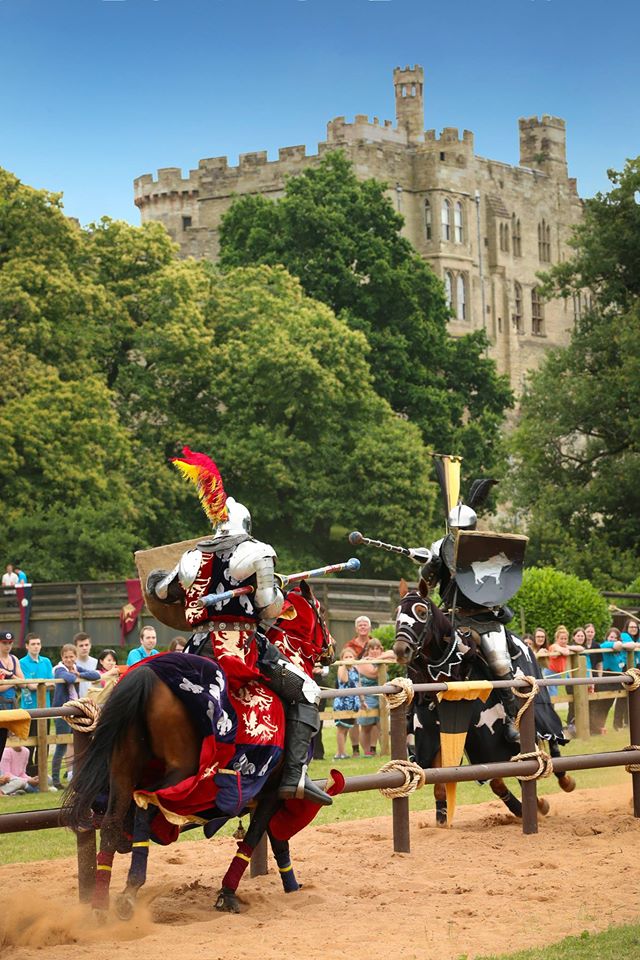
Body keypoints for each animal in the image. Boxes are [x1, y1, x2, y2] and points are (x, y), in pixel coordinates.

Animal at [62, 580, 338, 920]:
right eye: (320, 611)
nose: (331, 646)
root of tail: (145, 675)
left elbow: (275, 839)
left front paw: (291, 886)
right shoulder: (273, 792)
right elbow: (254, 838)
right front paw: (228, 893)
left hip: (123, 769)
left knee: (116, 820)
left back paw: (102, 906)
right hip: (181, 771)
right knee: (147, 803)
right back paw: (130, 890)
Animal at [392, 584, 572, 824]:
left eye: (421, 612)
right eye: (397, 614)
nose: (401, 650)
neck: (450, 672)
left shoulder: (489, 740)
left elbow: (512, 771)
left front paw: (535, 806)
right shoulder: (442, 738)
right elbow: (453, 783)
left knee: (551, 735)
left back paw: (564, 778)